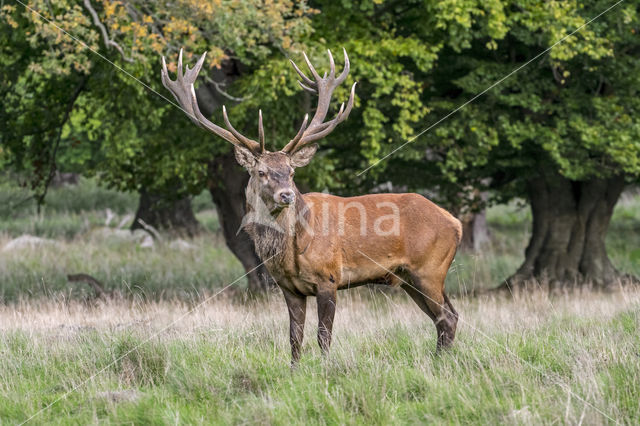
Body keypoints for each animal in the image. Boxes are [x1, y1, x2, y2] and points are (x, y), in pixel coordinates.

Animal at [160, 49, 460, 362]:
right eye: (261, 172)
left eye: (291, 171)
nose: (286, 195)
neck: (291, 252)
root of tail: (455, 222)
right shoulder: (289, 288)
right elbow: (294, 339)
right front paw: (295, 369)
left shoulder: (329, 278)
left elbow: (323, 337)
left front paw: (327, 368)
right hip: (410, 277)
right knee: (447, 317)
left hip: (430, 270)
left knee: (447, 318)